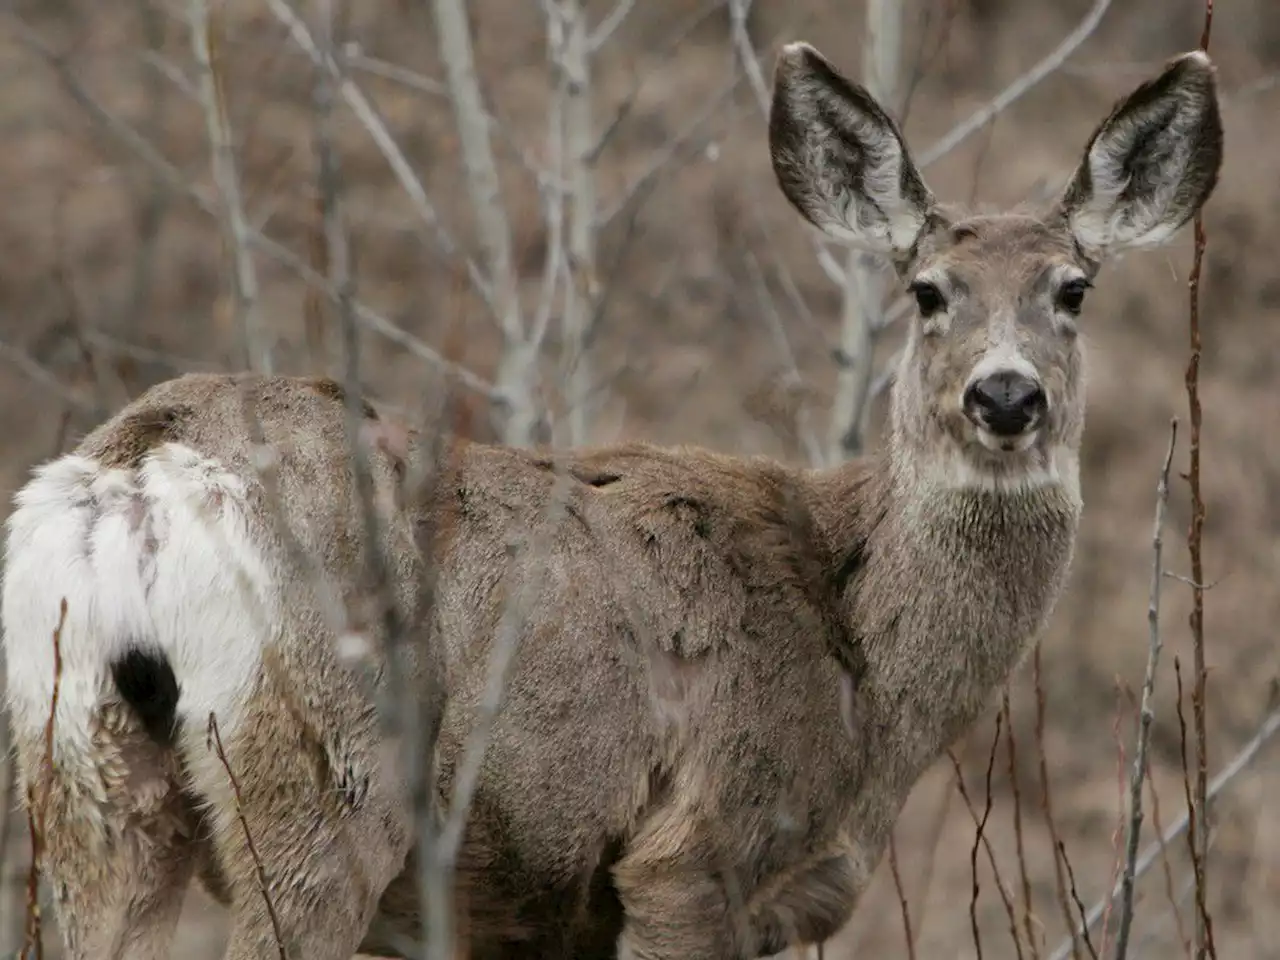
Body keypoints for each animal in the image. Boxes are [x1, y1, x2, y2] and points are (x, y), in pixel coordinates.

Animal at [0, 41, 1218, 960]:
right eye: (927, 292)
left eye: (1072, 289)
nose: (1005, 394)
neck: (862, 680)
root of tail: (132, 477)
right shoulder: (691, 853)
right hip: (317, 785)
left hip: (81, 780)